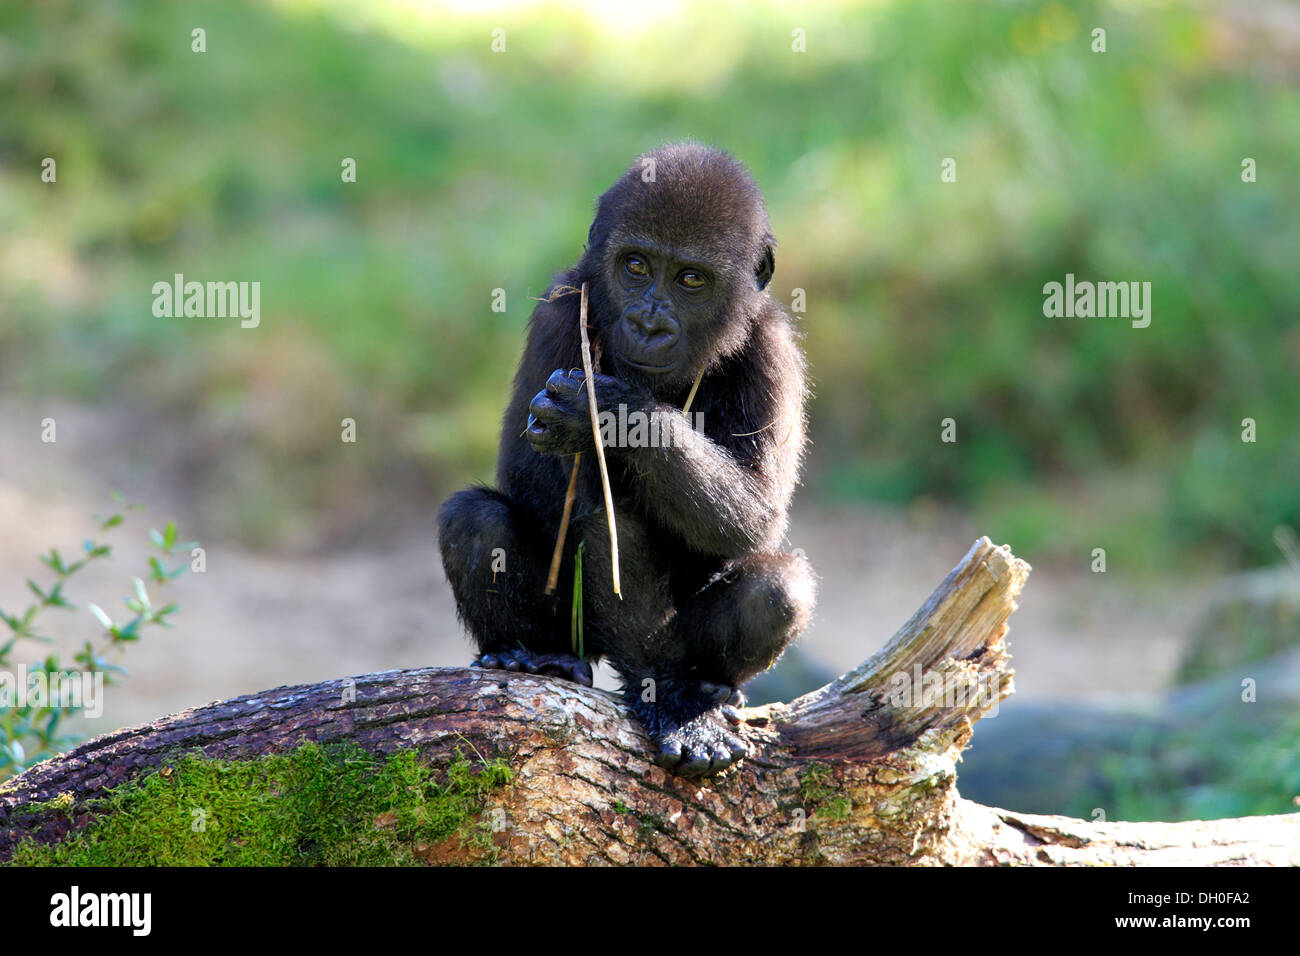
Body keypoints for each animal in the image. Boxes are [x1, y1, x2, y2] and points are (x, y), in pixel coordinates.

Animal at [441, 145, 816, 780]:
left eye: (691, 279)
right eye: (635, 266)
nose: (648, 323)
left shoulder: (773, 349)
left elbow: (757, 516)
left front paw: (611, 414)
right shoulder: (561, 309)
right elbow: (557, 494)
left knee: (775, 588)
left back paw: (699, 691)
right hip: (574, 633)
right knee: (476, 522)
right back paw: (535, 655)